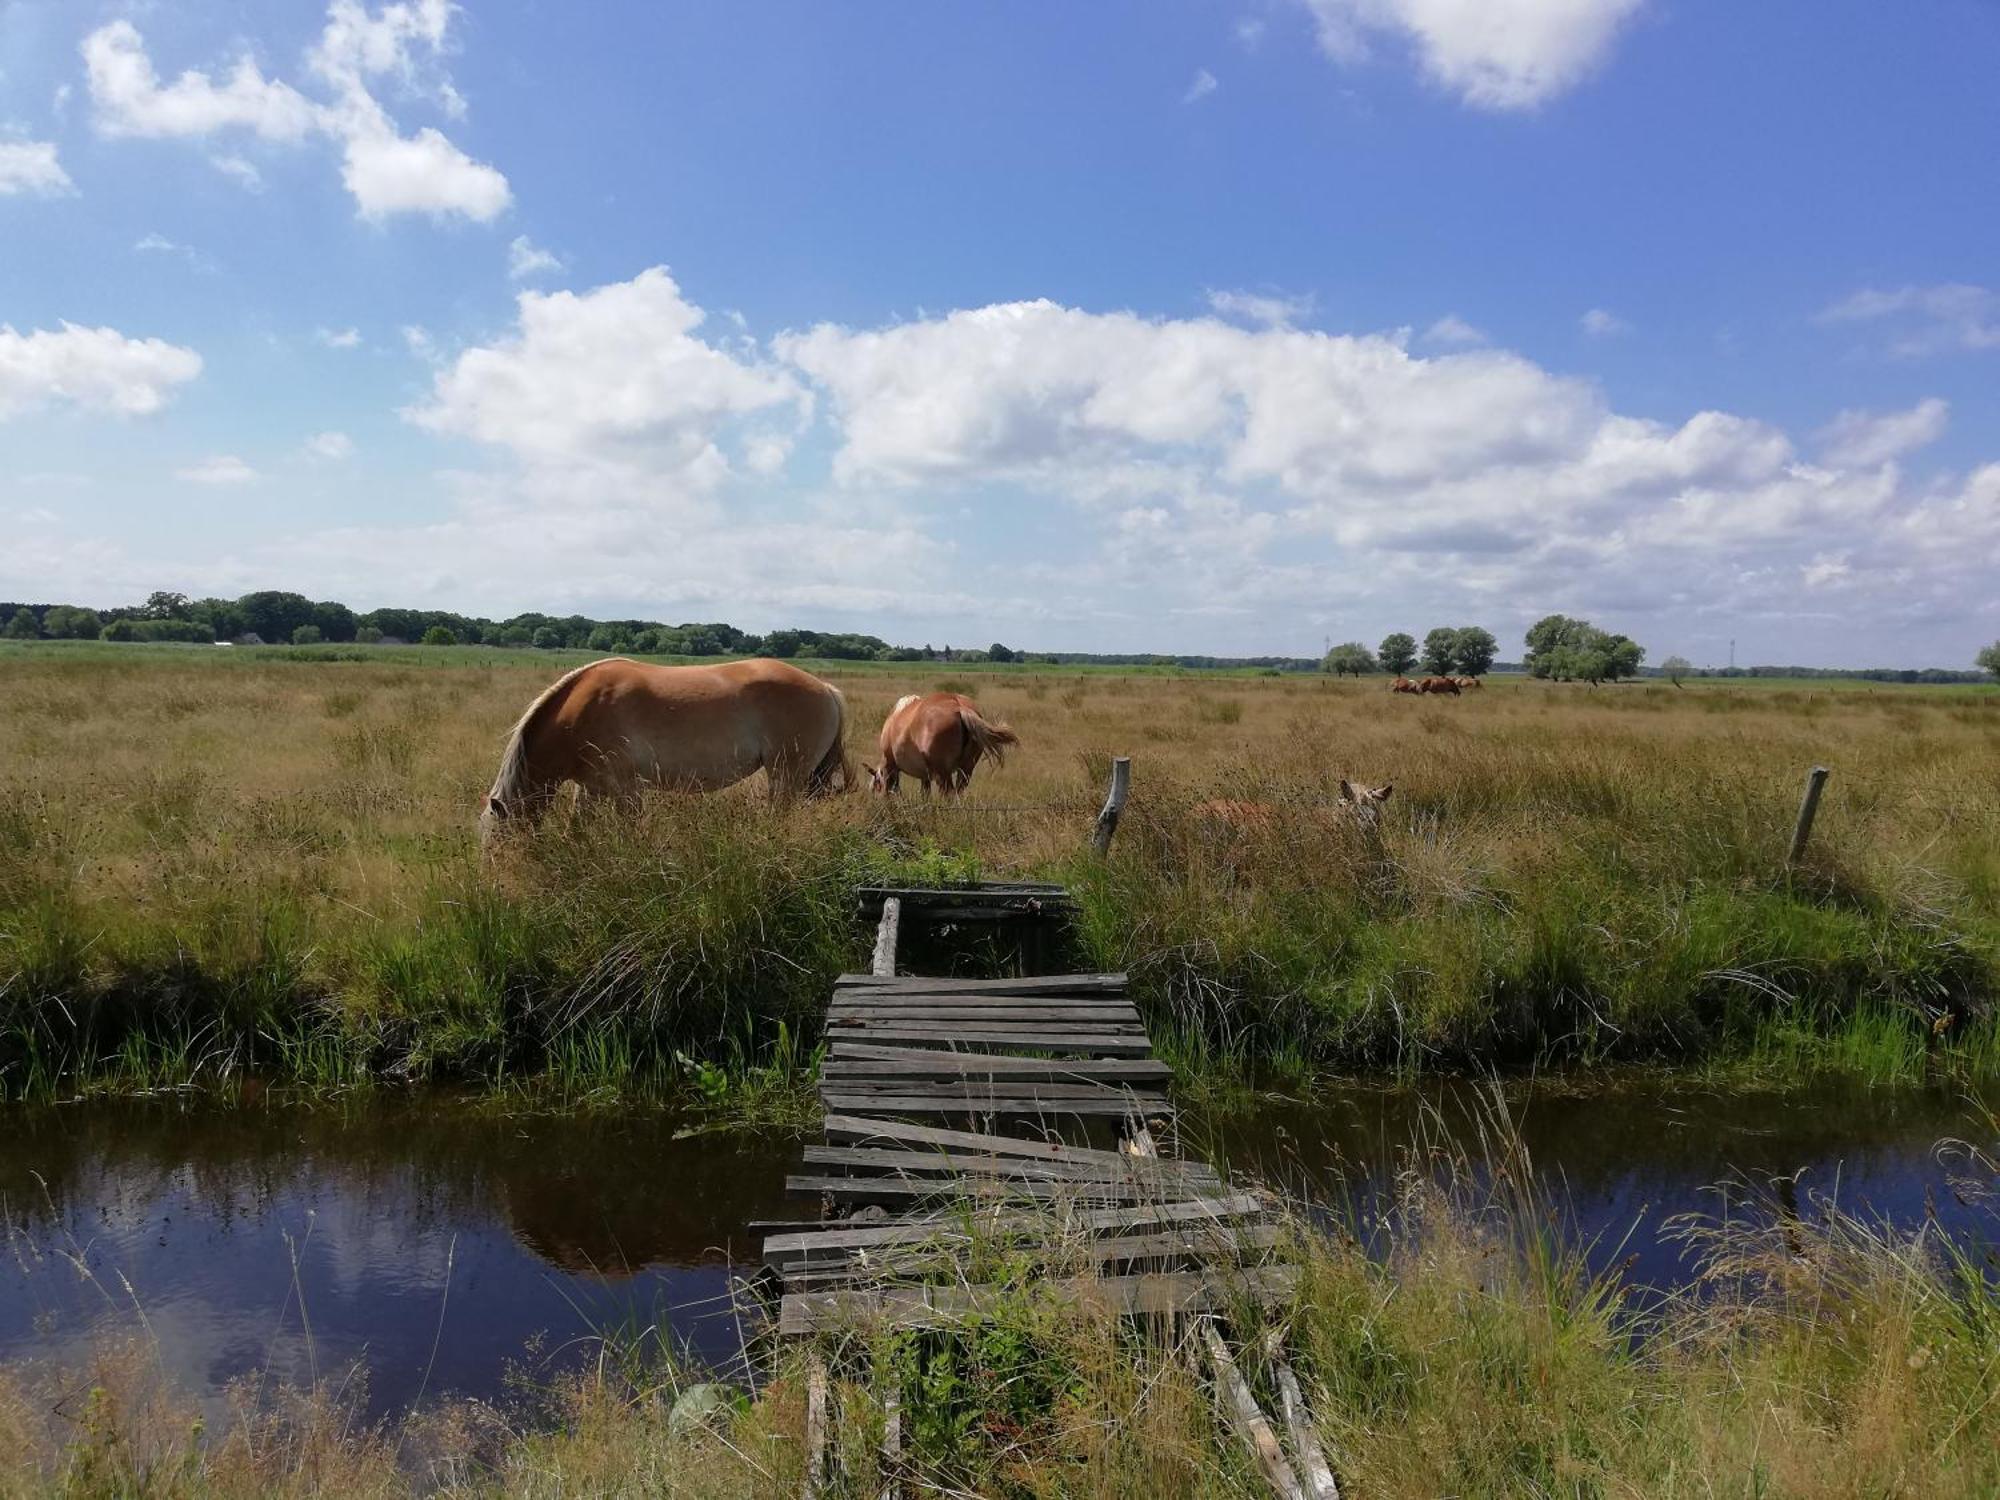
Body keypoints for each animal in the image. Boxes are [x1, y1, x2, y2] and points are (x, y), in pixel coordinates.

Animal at [488, 660, 856, 840]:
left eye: (496, 841)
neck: (581, 712)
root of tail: (826, 688)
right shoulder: (591, 789)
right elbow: (575, 831)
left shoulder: (627, 790)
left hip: (786, 776)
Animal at [864, 692, 1016, 800]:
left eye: (875, 786)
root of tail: (960, 707)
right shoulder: (924, 776)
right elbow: (925, 794)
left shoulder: (889, 766)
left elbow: (888, 790)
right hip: (965, 770)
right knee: (958, 792)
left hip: (942, 773)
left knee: (948, 794)